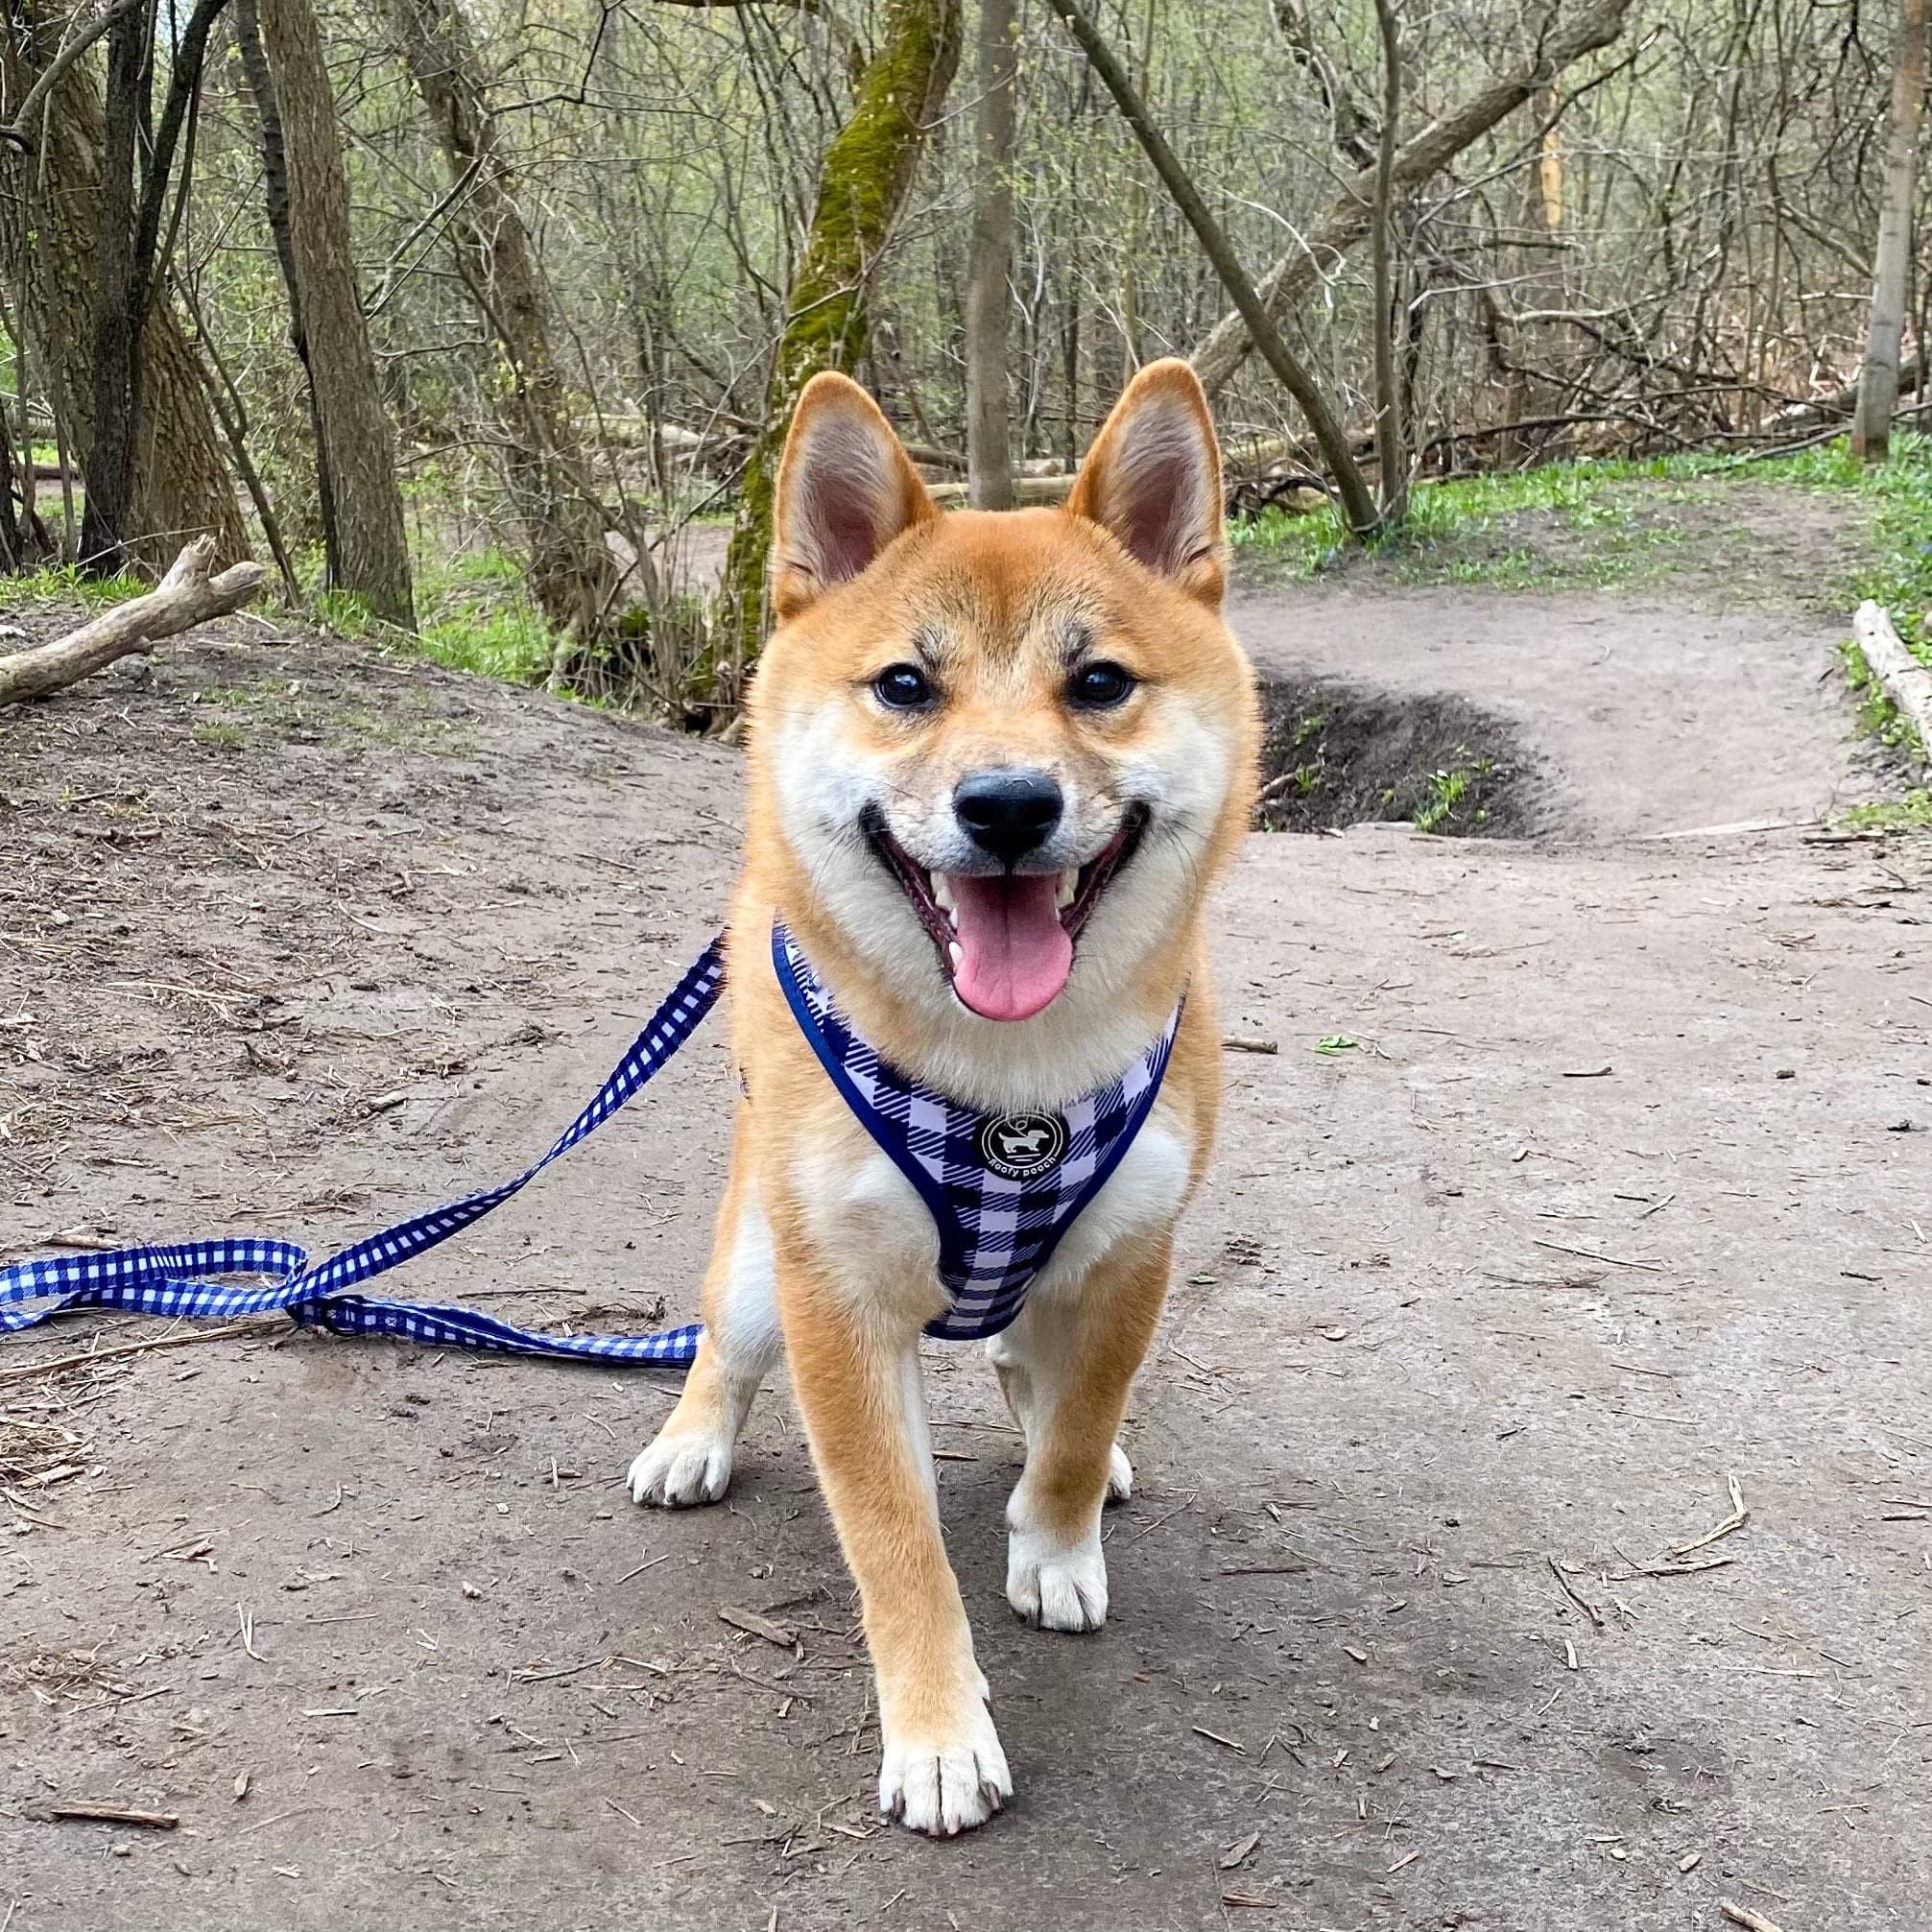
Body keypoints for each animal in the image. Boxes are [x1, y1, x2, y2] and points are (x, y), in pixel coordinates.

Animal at [626, 359, 1259, 1839]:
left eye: (1100, 682)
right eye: (907, 685)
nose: (1008, 805)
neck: (1006, 1094)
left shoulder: (1132, 1256)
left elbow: (1077, 1431)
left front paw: (1057, 1543)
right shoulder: (837, 1305)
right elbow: (893, 1540)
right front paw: (935, 1733)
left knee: (1041, 1377)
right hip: (759, 1264)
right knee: (719, 1342)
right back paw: (693, 1438)